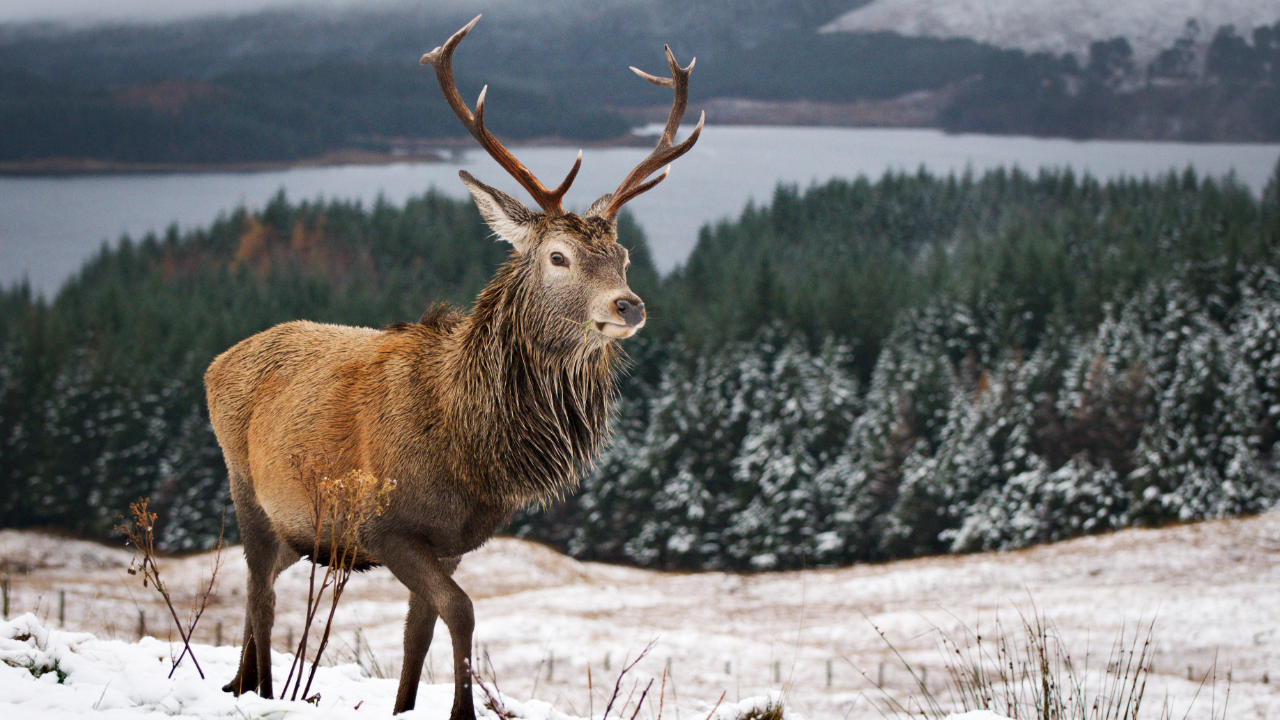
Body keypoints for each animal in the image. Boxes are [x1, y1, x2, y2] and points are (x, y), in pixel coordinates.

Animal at [203, 14, 702, 720]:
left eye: (624, 255)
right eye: (558, 256)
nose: (628, 305)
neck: (468, 442)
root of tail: (216, 363)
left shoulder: (454, 542)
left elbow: (420, 631)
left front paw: (407, 706)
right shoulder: (384, 526)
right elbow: (460, 614)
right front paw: (464, 709)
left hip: (296, 530)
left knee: (262, 586)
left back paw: (239, 683)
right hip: (245, 485)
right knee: (258, 593)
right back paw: (263, 690)